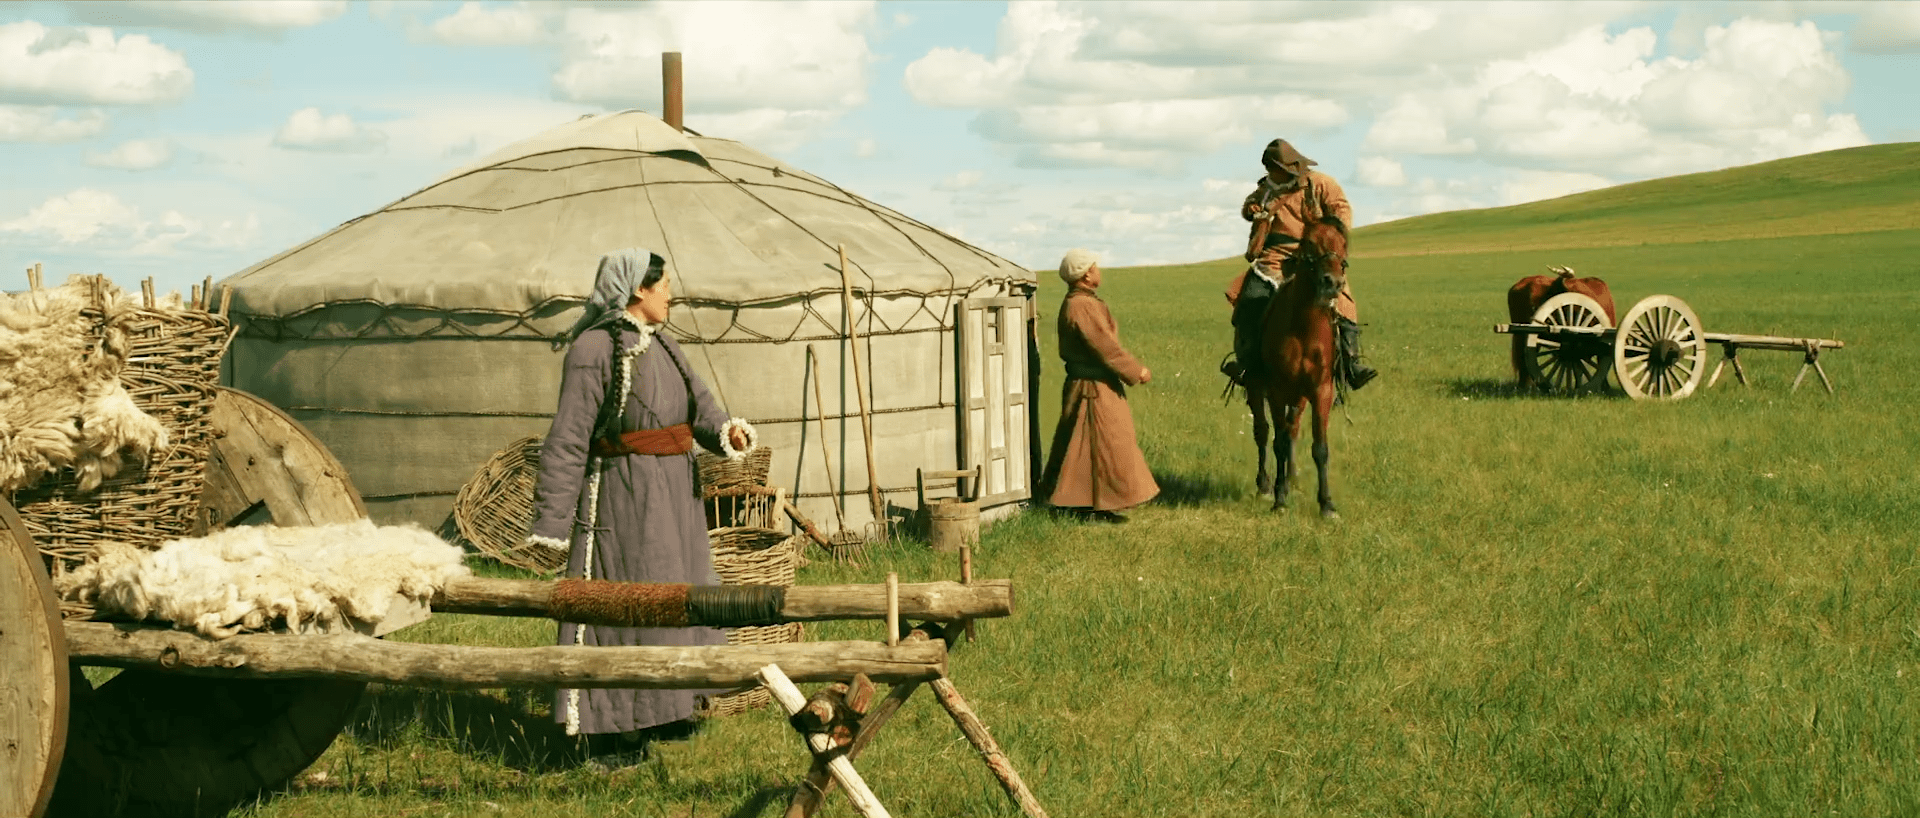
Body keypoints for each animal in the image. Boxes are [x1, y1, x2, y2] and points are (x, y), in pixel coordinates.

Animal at [1244, 216, 1351, 518]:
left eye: (1343, 243)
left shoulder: (1321, 390)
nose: (1333, 283)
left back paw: (1291, 479)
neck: (1303, 329)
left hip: (1300, 396)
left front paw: (1326, 504)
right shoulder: (1277, 390)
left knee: (1291, 430)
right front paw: (1280, 499)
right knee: (1262, 432)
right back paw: (1265, 485)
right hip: (1257, 387)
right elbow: (1277, 442)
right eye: (1309, 242)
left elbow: (1320, 447)